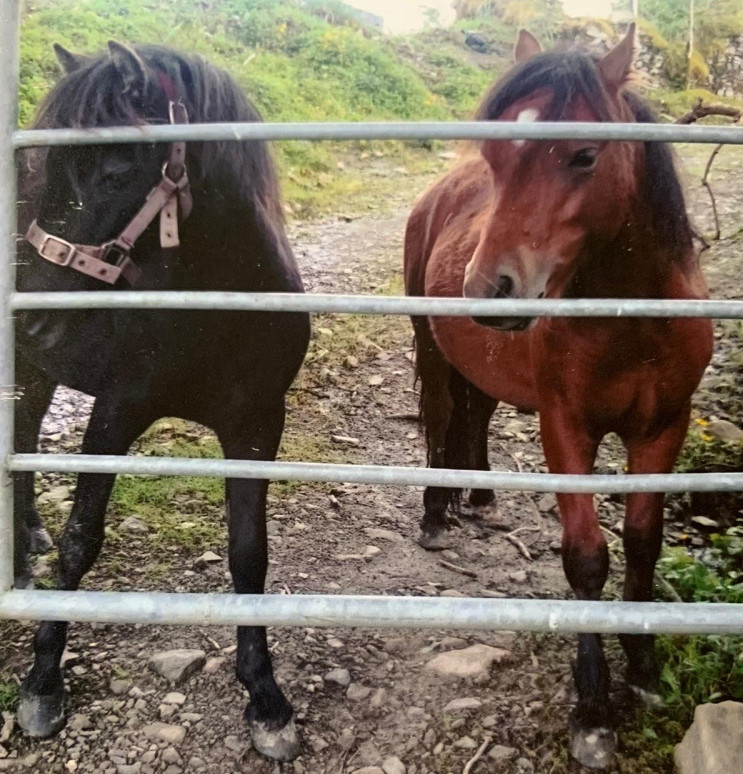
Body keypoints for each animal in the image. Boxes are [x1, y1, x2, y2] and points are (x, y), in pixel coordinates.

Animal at [14, 42, 310, 764]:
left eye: (116, 168)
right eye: (48, 166)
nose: (30, 315)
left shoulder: (256, 425)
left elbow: (248, 552)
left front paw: (266, 697)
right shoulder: (114, 413)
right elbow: (81, 542)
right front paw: (42, 681)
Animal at [406, 24, 716, 768]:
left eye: (583, 155)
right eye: (495, 153)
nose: (488, 288)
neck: (632, 319)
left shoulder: (664, 427)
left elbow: (642, 543)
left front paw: (643, 668)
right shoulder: (566, 429)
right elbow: (586, 558)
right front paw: (593, 709)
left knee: (476, 414)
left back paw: (478, 499)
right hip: (432, 348)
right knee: (442, 418)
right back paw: (436, 512)